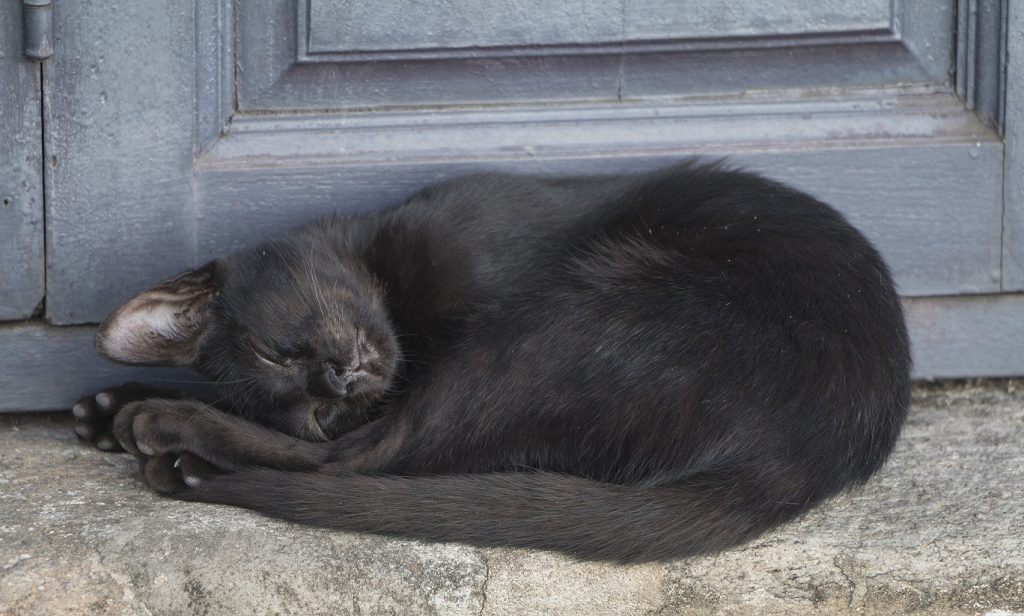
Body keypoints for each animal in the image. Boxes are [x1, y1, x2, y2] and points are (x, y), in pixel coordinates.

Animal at [74, 159, 913, 560]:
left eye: (279, 354)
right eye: (311, 407)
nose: (337, 382)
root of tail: (797, 465)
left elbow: (354, 451)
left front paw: (131, 412)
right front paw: (102, 404)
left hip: (556, 323)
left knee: (375, 458)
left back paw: (166, 437)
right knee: (376, 453)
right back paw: (127, 417)